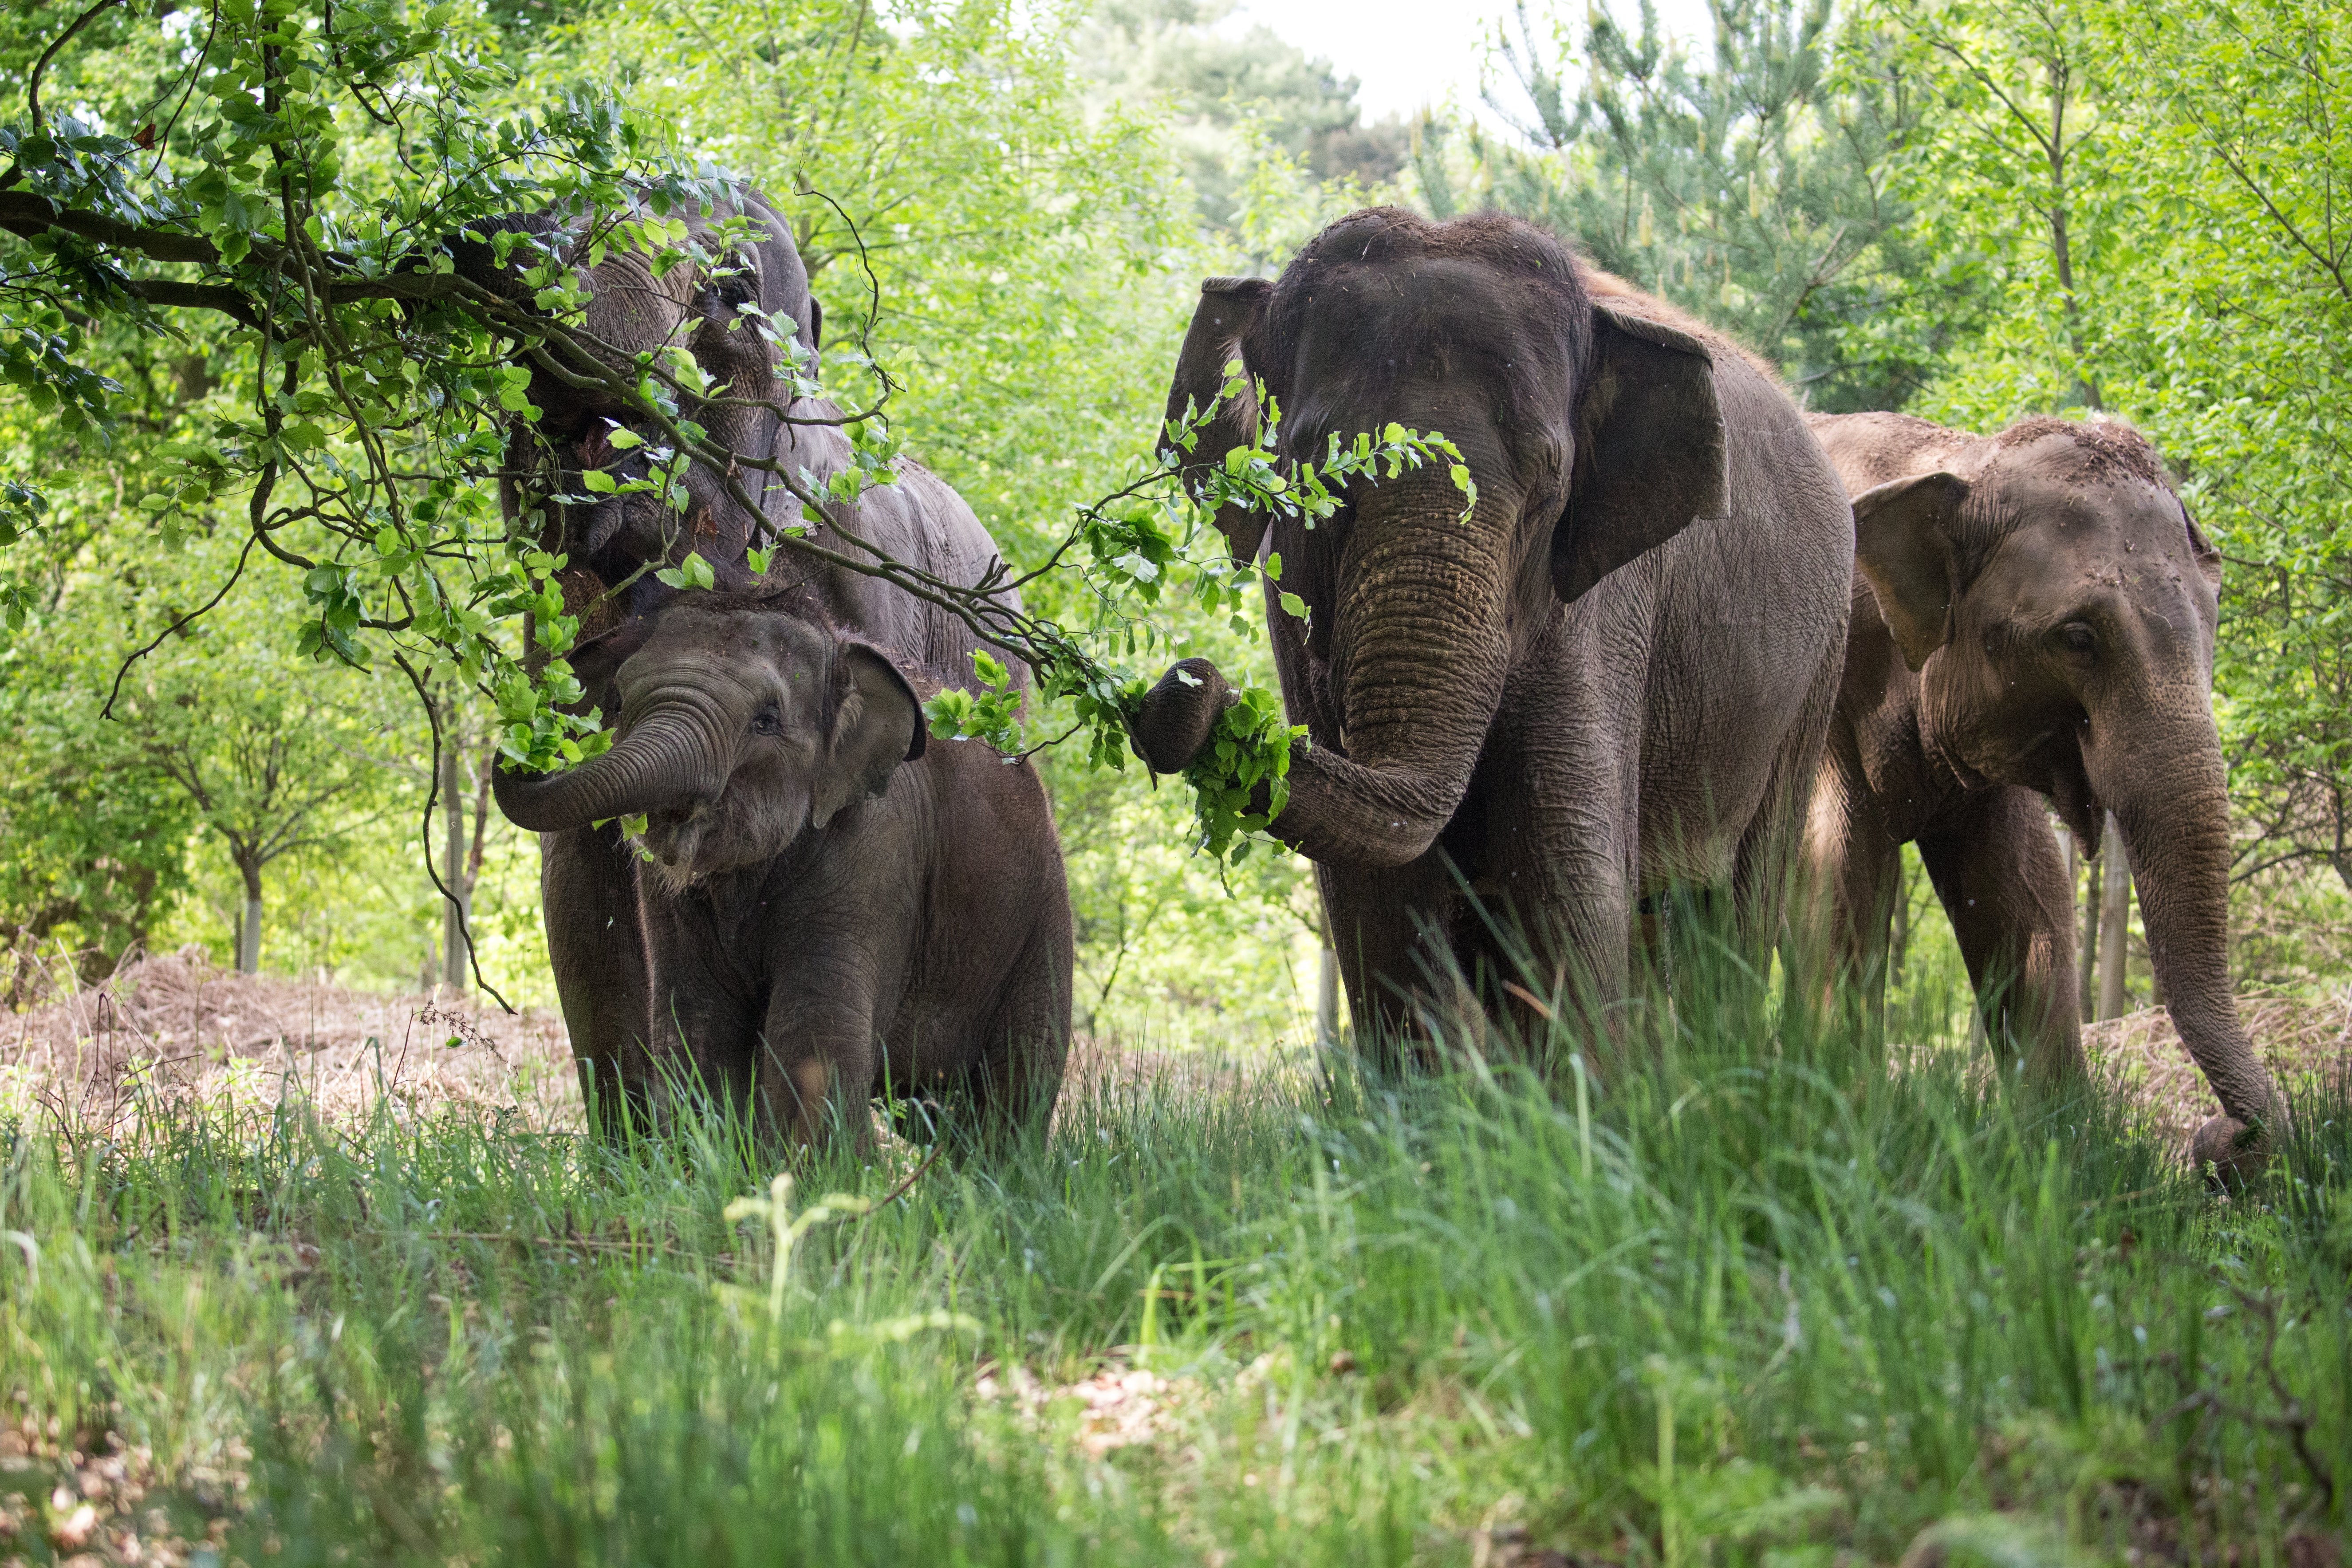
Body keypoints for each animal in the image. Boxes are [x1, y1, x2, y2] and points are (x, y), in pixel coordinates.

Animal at [505, 587, 1082, 1152]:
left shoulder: (877, 846)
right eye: (619, 705)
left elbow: (815, 1024)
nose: (521, 751)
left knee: (1015, 1087)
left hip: (1041, 920)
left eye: (766, 721)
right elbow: (698, 1023)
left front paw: (817, 1175)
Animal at [1124, 208, 1853, 1062]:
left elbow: (1563, 880)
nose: (1186, 685)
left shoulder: (1599, 616)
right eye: (1311, 464)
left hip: (1815, 674)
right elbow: (1380, 904)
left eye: (1548, 483)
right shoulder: (1291, 613)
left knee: (1734, 908)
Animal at [1797, 411, 2277, 1170]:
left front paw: (2062, 1154)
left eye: (2214, 621)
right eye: (2078, 638)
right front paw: (1843, 1124)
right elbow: (1839, 872)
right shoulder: (1827, 686)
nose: (2215, 1142)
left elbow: (2026, 891)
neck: (1954, 457)